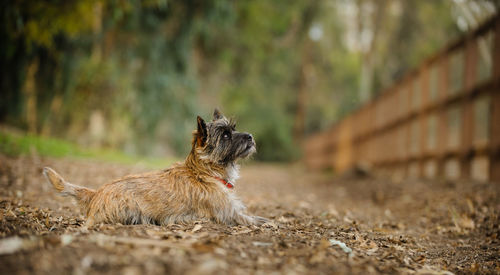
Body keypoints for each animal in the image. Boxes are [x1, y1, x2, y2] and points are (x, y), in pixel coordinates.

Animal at [44, 109, 268, 227]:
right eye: (226, 135)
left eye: (234, 129)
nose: (250, 136)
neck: (204, 172)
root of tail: (96, 193)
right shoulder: (230, 214)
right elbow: (257, 219)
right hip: (131, 208)